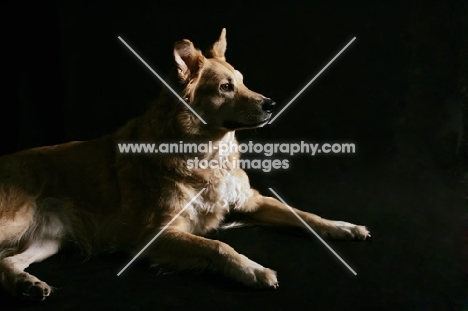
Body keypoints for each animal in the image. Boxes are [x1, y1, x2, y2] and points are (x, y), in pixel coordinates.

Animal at [0, 29, 370, 302]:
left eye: (243, 81)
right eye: (225, 87)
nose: (271, 104)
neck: (208, 153)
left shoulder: (249, 202)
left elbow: (304, 214)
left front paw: (343, 227)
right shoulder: (157, 233)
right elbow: (218, 245)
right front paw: (252, 270)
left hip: (50, 239)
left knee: (6, 261)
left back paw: (27, 283)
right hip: (18, 220)